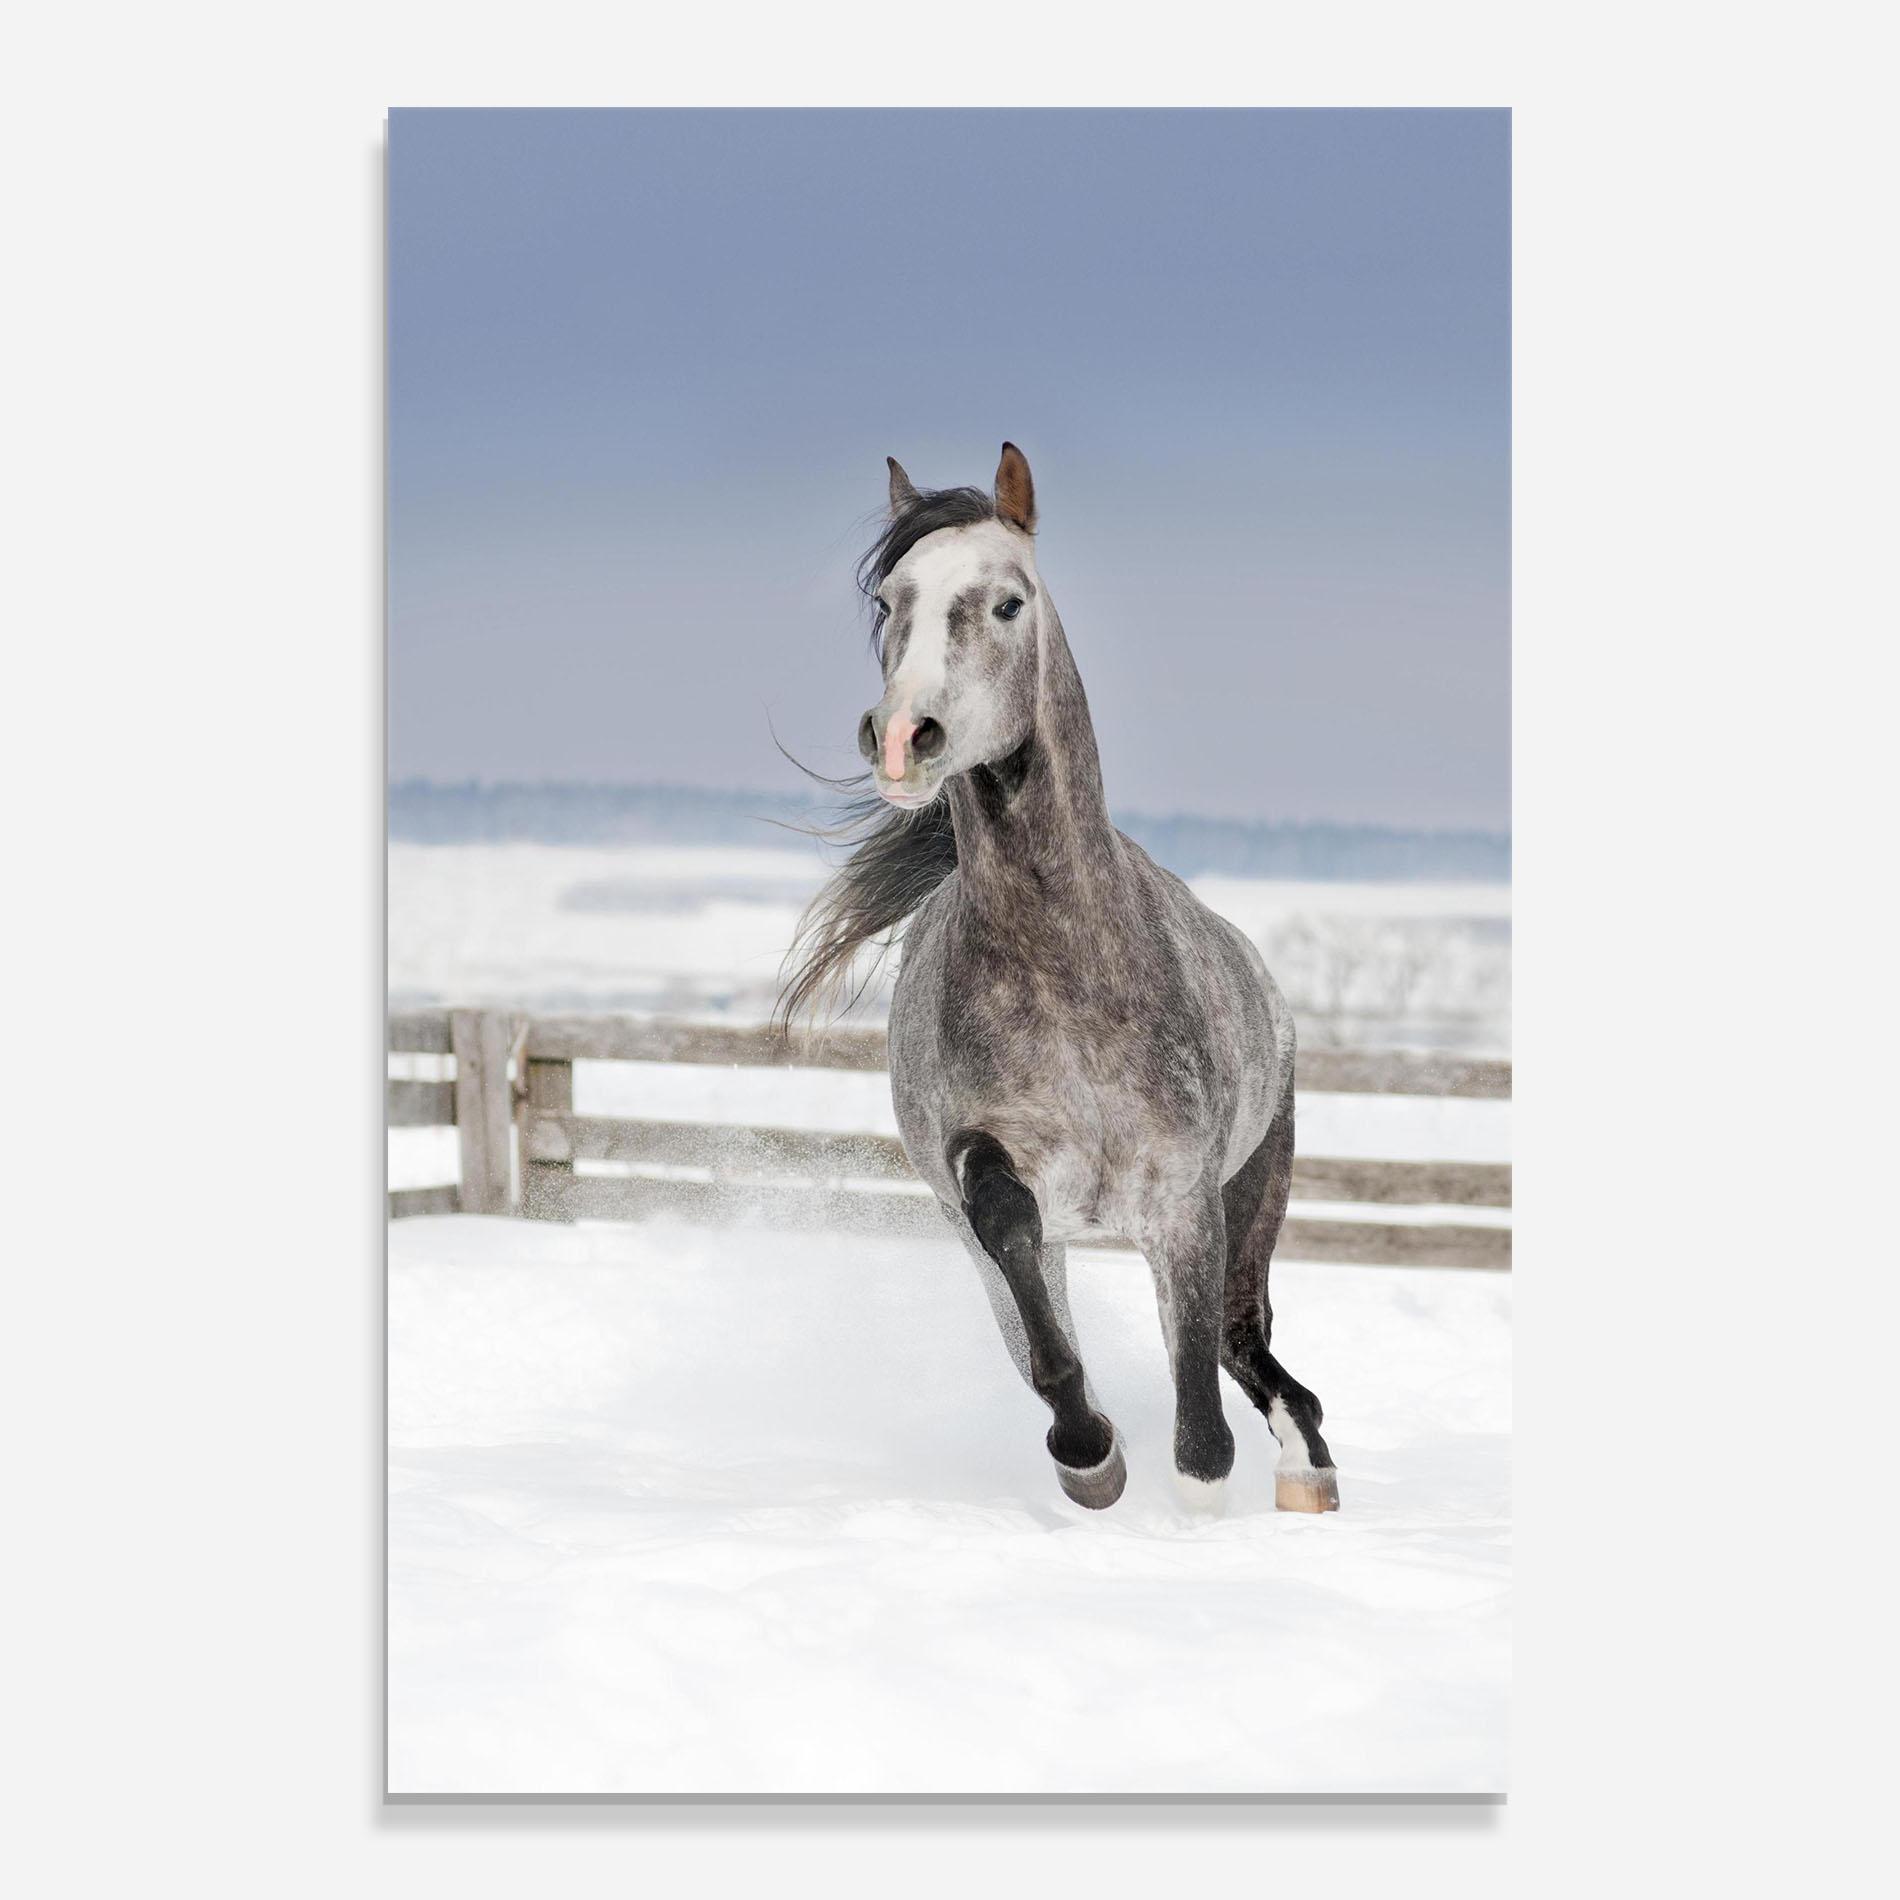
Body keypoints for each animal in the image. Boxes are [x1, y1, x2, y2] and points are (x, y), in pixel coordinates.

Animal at [780, 444, 1339, 1515]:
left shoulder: (1184, 1204)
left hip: (1254, 1195)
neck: (1066, 970)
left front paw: (1195, 1500)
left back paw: (1308, 1473)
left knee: (1245, 1345)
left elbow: (1201, 1429)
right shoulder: (992, 1185)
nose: (903, 737)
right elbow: (1024, 1274)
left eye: (1008, 603)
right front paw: (1089, 1453)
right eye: (888, 601)